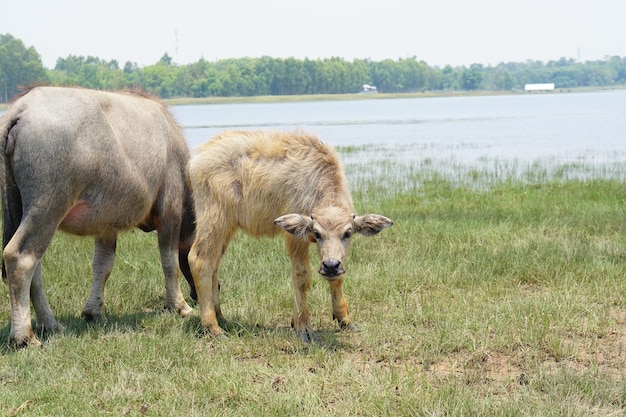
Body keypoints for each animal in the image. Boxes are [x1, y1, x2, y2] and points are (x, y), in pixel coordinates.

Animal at [0, 86, 195, 346]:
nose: (202, 293)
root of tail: (20, 109)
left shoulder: (106, 226)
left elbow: (102, 266)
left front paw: (94, 312)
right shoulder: (170, 211)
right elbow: (170, 262)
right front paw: (180, 306)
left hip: (20, 207)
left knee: (35, 266)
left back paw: (51, 324)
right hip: (47, 206)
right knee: (20, 257)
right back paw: (24, 336)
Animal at [186, 129, 390, 342]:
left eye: (348, 233)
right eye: (317, 233)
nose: (330, 265)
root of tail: (198, 157)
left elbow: (336, 279)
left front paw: (345, 320)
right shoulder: (296, 239)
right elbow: (301, 277)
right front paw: (303, 327)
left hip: (227, 228)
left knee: (214, 264)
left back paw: (220, 316)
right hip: (214, 220)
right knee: (200, 260)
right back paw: (213, 328)